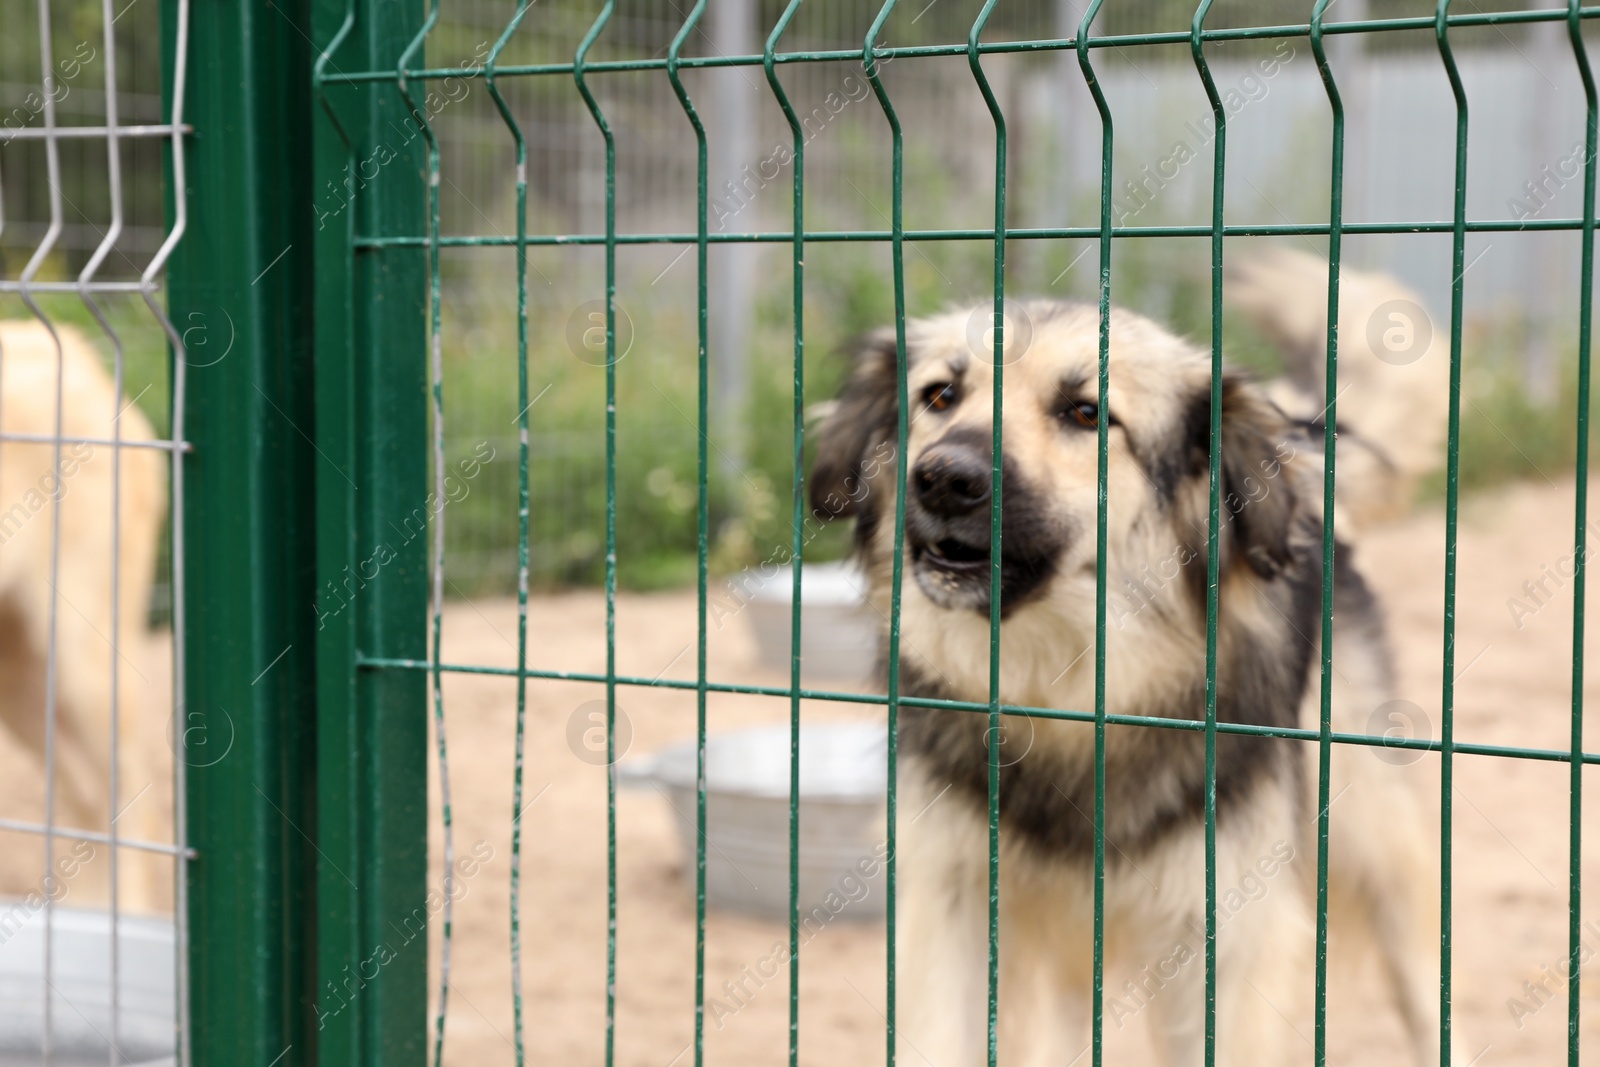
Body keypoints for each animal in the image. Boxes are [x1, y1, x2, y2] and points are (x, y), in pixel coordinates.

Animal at [819, 252, 1459, 1067]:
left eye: (1087, 414)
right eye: (939, 396)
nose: (941, 478)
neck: (1065, 695)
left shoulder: (1229, 931)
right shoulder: (952, 901)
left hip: (1372, 835)